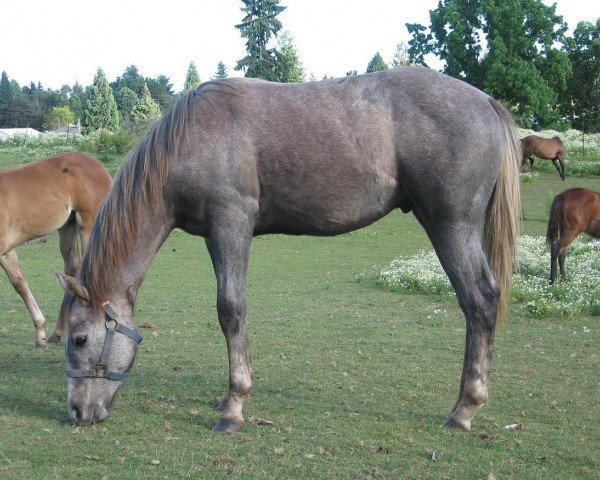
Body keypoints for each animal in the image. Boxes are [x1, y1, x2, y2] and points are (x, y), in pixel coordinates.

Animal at [0, 153, 112, 344]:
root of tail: (100, 166)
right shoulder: (6, 249)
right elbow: (18, 282)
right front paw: (40, 332)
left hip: (88, 225)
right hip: (68, 226)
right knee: (72, 271)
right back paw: (57, 332)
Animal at [58, 69, 524, 434]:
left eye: (79, 339)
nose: (77, 411)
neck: (193, 137)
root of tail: (485, 101)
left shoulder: (231, 224)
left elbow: (230, 309)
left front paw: (234, 407)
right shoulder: (214, 233)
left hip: (451, 225)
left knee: (479, 301)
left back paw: (464, 409)